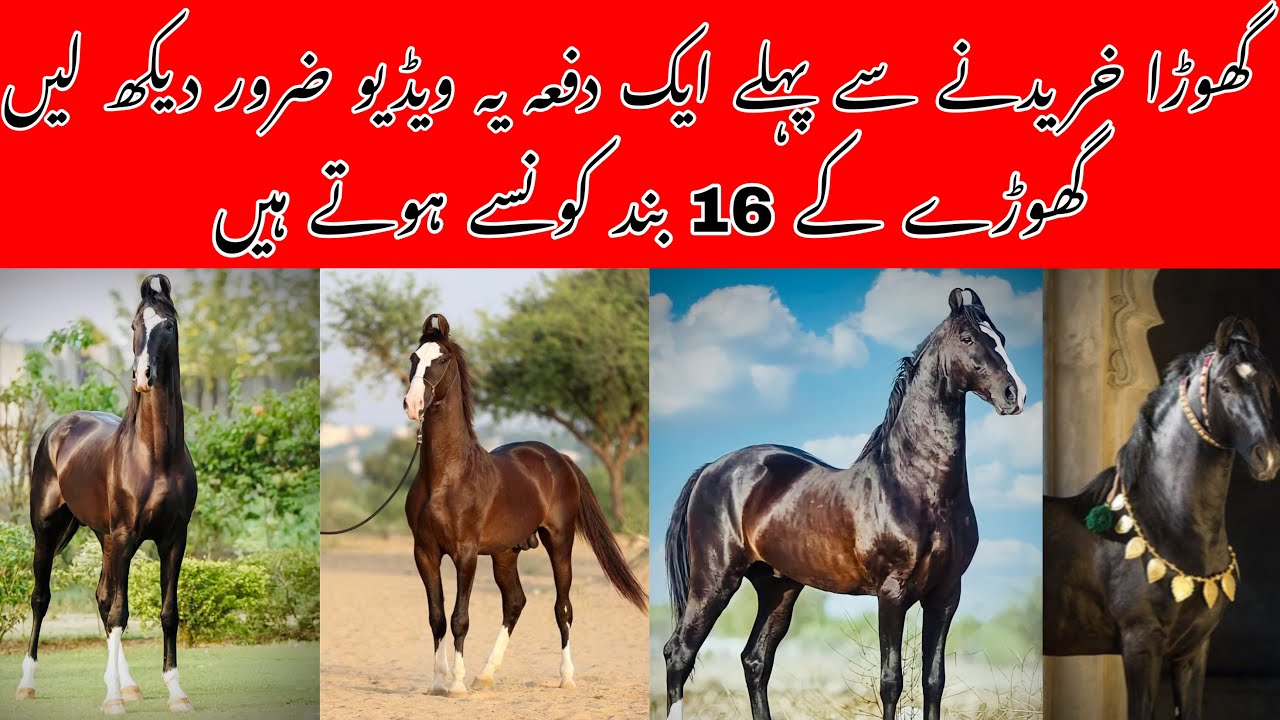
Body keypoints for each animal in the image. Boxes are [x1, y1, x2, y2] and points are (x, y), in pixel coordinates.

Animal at [15, 274, 197, 714]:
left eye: (168, 325)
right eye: (134, 325)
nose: (142, 376)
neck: (155, 456)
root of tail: (60, 426)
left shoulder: (173, 540)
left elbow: (167, 612)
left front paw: (176, 692)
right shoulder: (128, 536)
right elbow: (119, 612)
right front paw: (112, 700)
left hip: (104, 537)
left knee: (100, 596)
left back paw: (127, 683)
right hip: (49, 531)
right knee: (42, 598)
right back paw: (28, 683)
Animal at [400, 313, 646, 696]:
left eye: (440, 360)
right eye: (414, 358)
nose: (412, 405)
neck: (447, 476)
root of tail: (559, 458)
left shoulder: (465, 553)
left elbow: (459, 618)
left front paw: (456, 685)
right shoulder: (424, 551)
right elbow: (436, 617)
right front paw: (438, 681)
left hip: (559, 540)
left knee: (563, 607)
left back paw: (566, 677)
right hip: (506, 553)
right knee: (515, 602)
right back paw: (486, 675)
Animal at [662, 287, 1027, 720]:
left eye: (1001, 338)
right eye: (969, 339)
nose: (1015, 395)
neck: (915, 485)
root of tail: (711, 469)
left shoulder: (945, 595)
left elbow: (933, 681)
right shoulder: (892, 593)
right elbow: (891, 682)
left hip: (778, 588)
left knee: (755, 660)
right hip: (714, 581)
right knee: (679, 654)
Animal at [1044, 316, 1280, 720]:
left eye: (1269, 385)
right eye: (1225, 385)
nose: (1268, 458)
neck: (1165, 523)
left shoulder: (1193, 651)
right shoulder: (1141, 644)